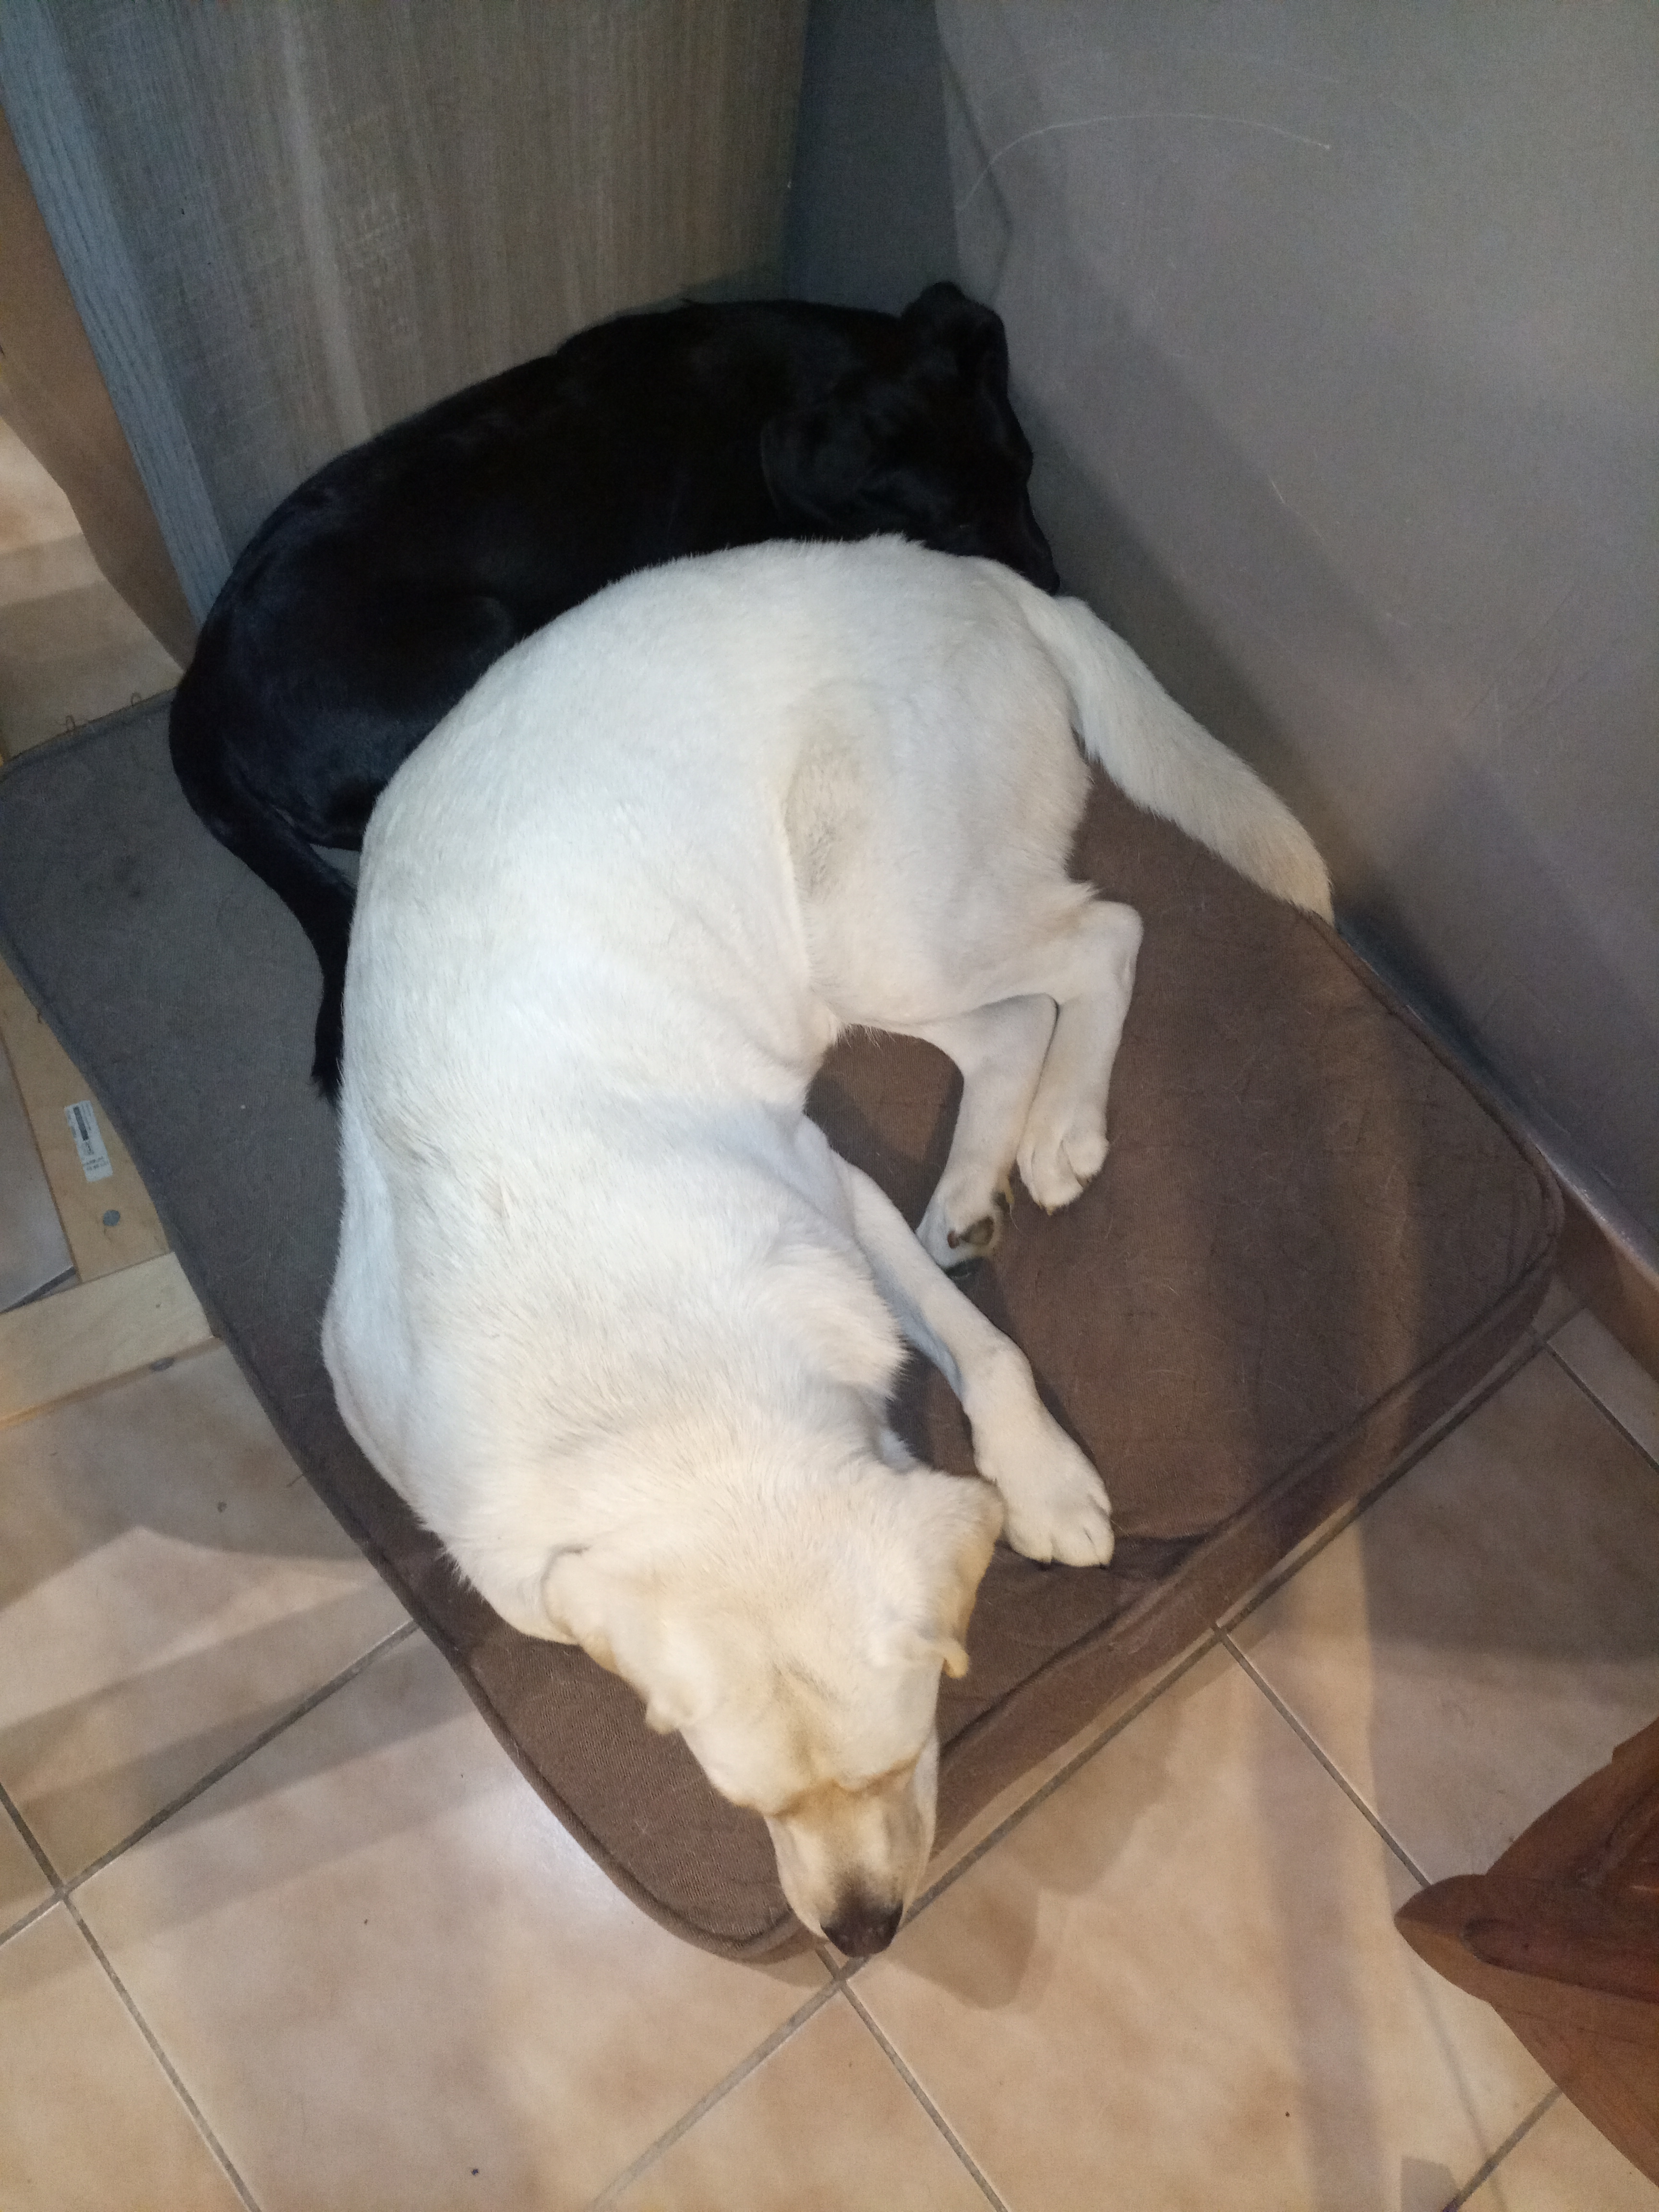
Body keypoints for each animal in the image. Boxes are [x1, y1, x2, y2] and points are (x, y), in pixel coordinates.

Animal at [321, 538, 1330, 1953]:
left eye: (900, 1758)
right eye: (753, 1809)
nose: (857, 1936)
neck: (647, 1369)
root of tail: (973, 573)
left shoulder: (831, 1191)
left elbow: (983, 1349)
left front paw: (1045, 1484)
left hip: (886, 925)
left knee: (1102, 937)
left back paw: (1061, 1131)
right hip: (863, 970)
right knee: (1018, 1016)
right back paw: (975, 1187)